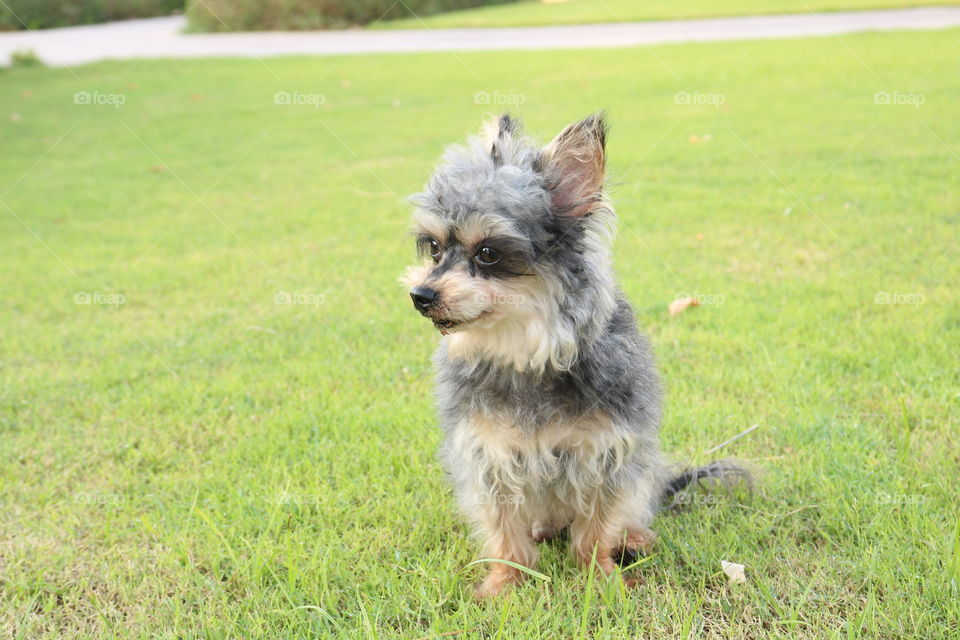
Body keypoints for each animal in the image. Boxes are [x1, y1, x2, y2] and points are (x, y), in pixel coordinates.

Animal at [402, 112, 748, 596]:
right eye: (433, 248)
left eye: (487, 253)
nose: (421, 295)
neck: (525, 354)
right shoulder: (489, 455)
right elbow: (503, 531)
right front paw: (504, 583)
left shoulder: (606, 453)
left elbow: (596, 528)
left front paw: (599, 578)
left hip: (642, 471)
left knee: (636, 503)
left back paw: (635, 537)